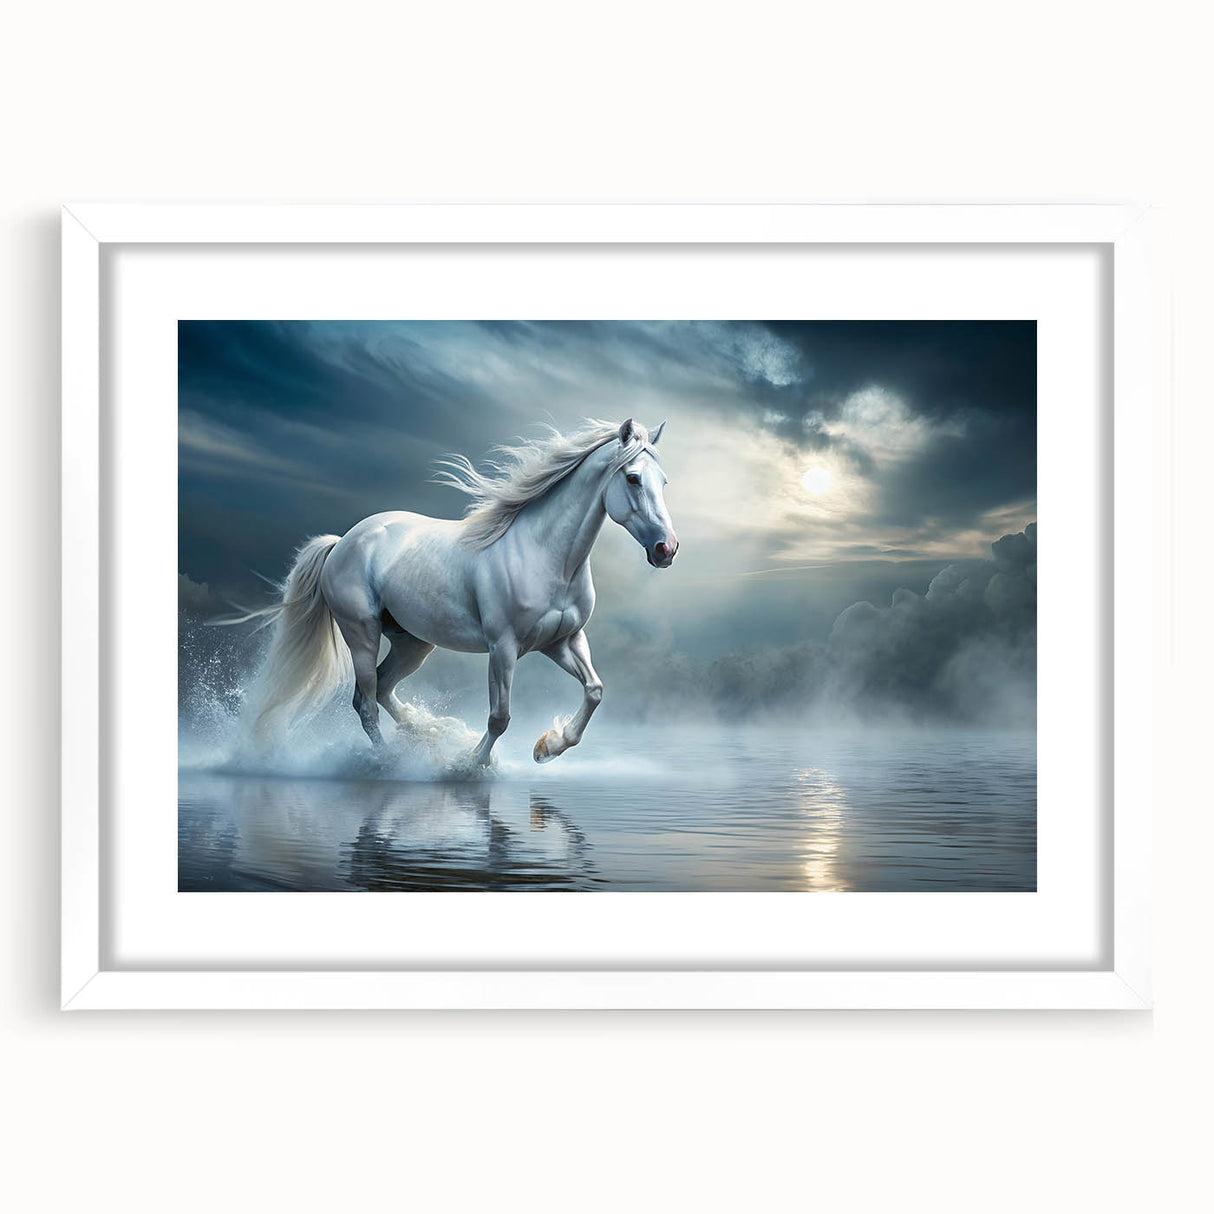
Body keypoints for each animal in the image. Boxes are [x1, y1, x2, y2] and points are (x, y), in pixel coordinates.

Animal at [241, 417, 678, 765]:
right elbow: (500, 716)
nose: (666, 549)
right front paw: (470, 766)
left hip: (413, 643)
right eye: (633, 478)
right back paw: (390, 761)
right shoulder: (503, 648)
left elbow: (594, 690)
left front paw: (547, 747)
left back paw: (427, 734)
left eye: (664, 481)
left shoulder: (563, 640)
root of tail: (342, 542)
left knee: (382, 689)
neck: (545, 556)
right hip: (361, 634)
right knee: (365, 702)